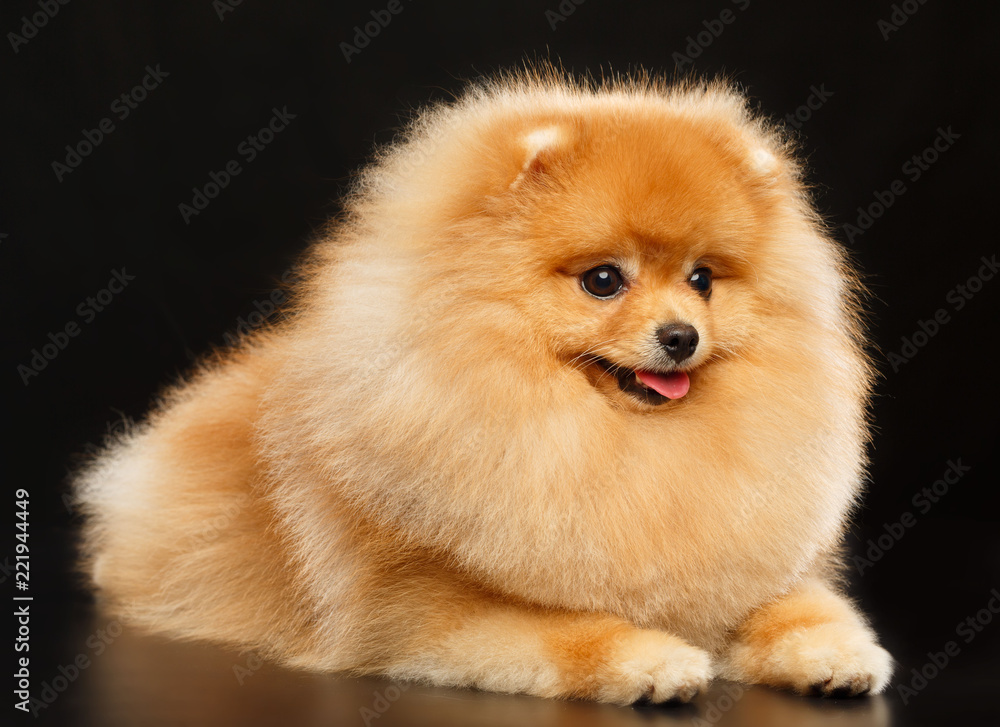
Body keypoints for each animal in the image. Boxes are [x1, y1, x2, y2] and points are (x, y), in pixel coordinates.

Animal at [78, 69, 892, 704]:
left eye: (702, 280)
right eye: (604, 281)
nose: (681, 336)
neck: (624, 446)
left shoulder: (748, 566)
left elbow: (802, 604)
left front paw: (839, 652)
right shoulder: (417, 612)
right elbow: (565, 630)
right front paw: (653, 658)